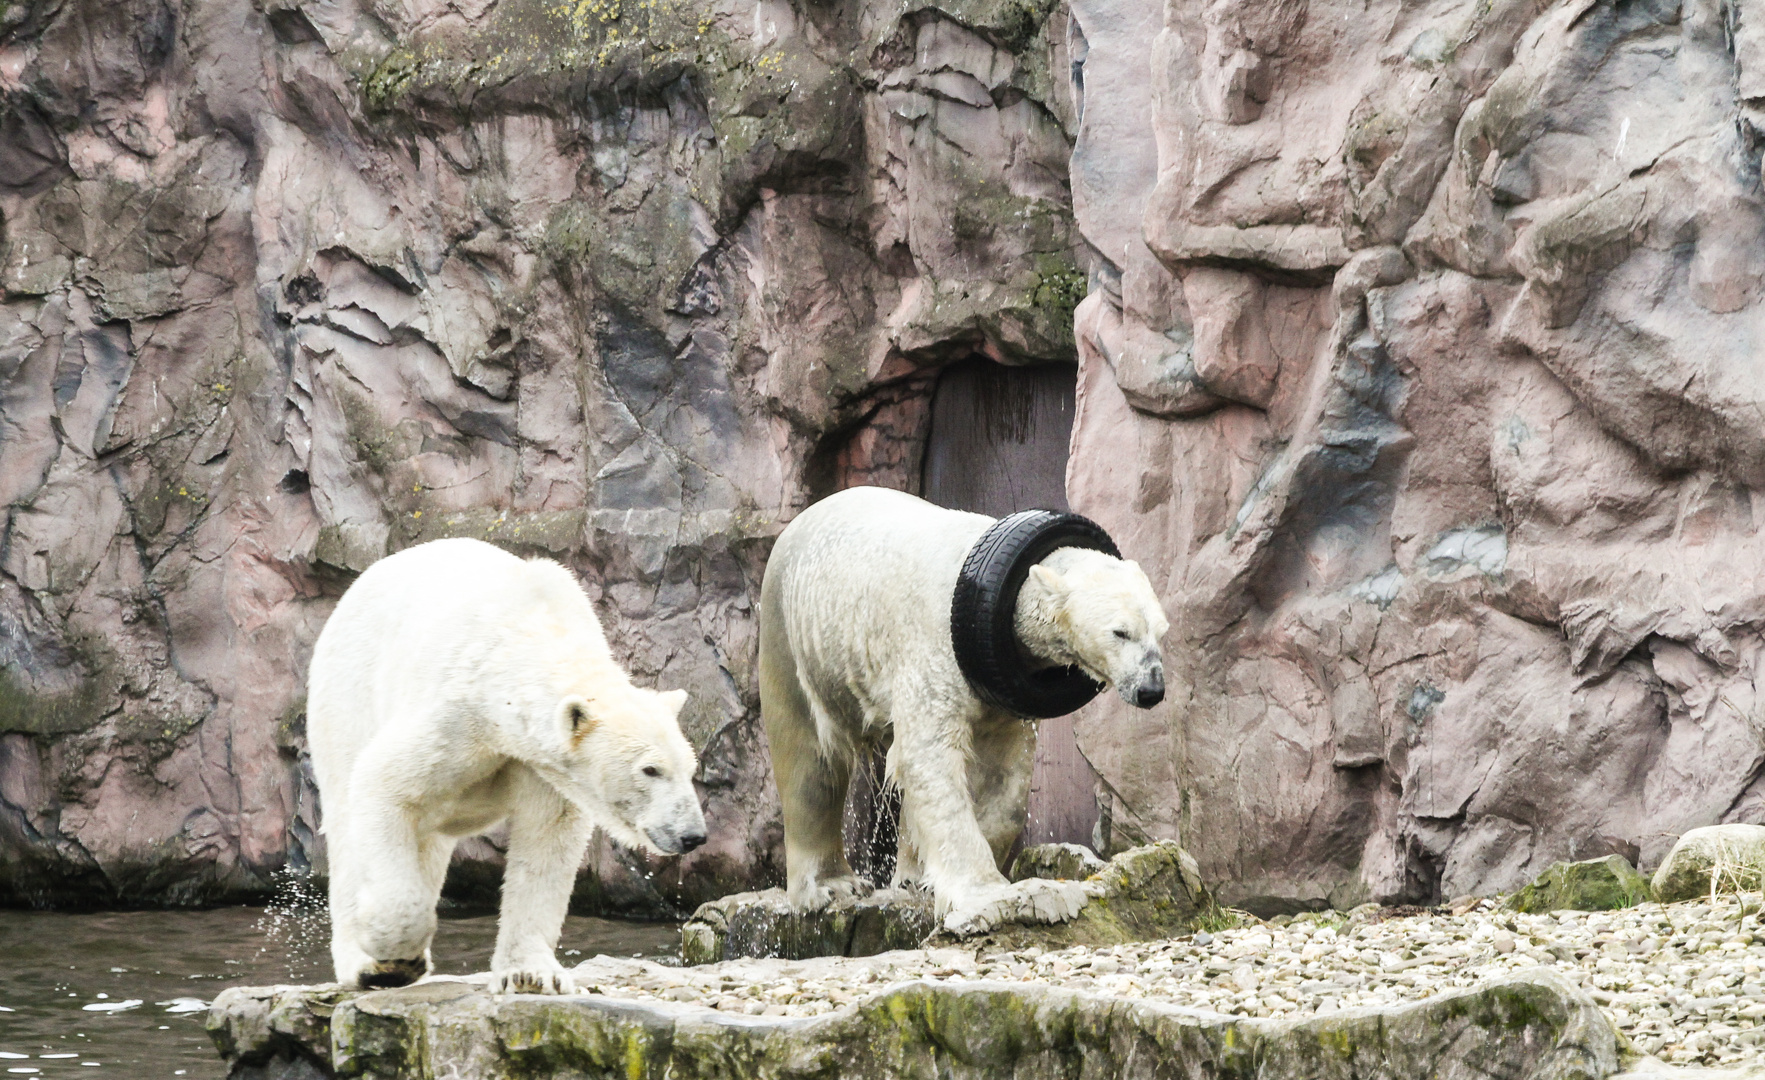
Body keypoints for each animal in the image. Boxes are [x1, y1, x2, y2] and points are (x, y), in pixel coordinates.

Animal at [307, 540, 706, 995]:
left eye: (689, 768)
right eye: (651, 770)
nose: (693, 835)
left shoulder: (540, 764)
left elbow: (548, 837)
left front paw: (531, 973)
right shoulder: (458, 715)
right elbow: (384, 783)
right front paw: (393, 953)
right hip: (349, 688)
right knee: (348, 817)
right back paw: (366, 965)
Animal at [762, 490, 1164, 938]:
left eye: (1160, 631)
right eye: (1120, 632)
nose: (1151, 689)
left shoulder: (1005, 686)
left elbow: (1004, 776)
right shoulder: (937, 650)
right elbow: (930, 762)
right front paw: (985, 894)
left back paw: (911, 876)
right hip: (793, 632)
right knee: (811, 759)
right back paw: (830, 885)